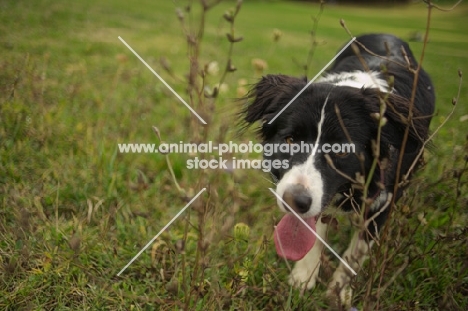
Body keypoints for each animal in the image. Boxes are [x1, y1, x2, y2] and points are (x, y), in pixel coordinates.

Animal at [243, 34, 434, 304]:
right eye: (289, 140)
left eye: (342, 151)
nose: (294, 201)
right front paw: (303, 278)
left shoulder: (384, 201)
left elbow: (355, 252)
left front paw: (338, 292)